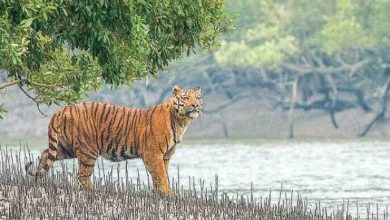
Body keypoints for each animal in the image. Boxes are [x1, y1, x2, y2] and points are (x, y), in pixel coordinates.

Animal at [26, 85, 204, 194]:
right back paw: (97, 192)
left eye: (197, 97)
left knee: (45, 154)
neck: (181, 121)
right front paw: (169, 194)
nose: (195, 105)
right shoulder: (153, 154)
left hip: (66, 148)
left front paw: (159, 194)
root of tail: (62, 110)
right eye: (185, 98)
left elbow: (161, 176)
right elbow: (161, 176)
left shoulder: (166, 156)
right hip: (88, 150)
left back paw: (37, 182)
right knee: (82, 175)